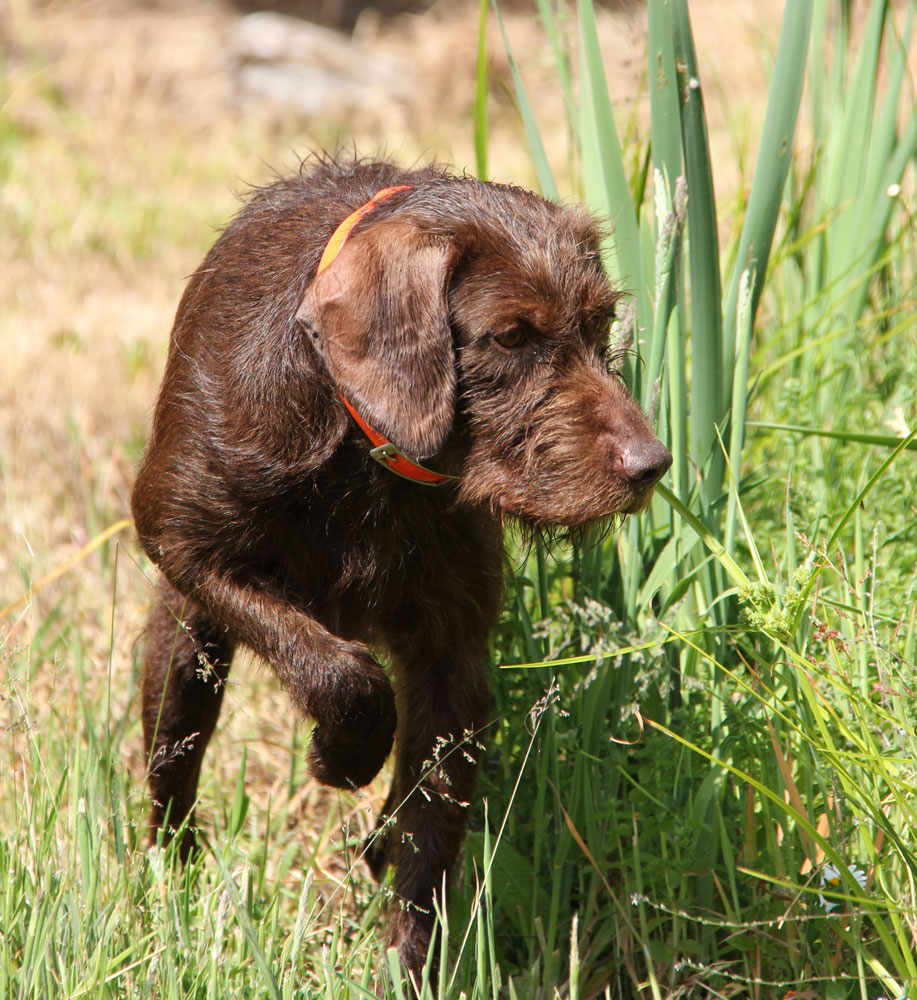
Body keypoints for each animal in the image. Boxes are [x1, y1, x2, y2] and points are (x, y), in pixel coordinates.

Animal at [132, 158, 668, 984]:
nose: (650, 466)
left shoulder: (453, 660)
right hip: (185, 646)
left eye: (600, 323)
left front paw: (408, 964)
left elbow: (429, 835)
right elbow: (342, 673)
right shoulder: (182, 543)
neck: (360, 450)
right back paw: (174, 884)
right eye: (511, 336)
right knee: (174, 762)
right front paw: (342, 756)